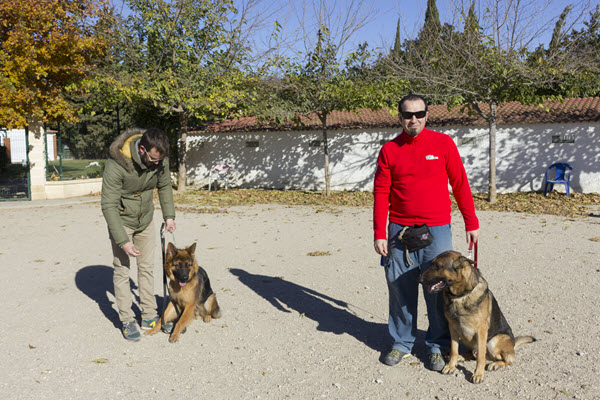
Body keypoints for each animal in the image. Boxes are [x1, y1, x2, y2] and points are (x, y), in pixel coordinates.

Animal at [418, 250, 536, 384]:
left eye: (437, 266)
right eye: (432, 264)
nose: (419, 279)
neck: (460, 296)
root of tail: (513, 343)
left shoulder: (481, 331)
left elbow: (480, 357)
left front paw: (478, 374)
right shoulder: (453, 328)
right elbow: (454, 350)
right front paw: (451, 366)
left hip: (494, 341)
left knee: (506, 360)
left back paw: (495, 364)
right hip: (465, 337)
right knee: (473, 354)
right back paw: (462, 357)